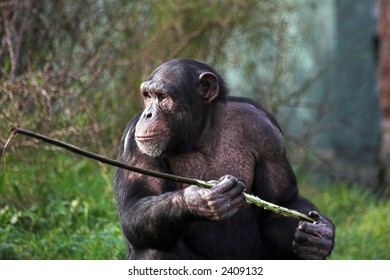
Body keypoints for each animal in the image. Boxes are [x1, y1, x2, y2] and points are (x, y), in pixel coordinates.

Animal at [113, 58, 336, 260]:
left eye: (162, 96)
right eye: (148, 96)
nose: (148, 114)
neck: (202, 132)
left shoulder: (266, 132)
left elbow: (282, 201)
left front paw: (320, 234)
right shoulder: (134, 144)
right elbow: (136, 202)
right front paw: (201, 199)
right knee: (154, 248)